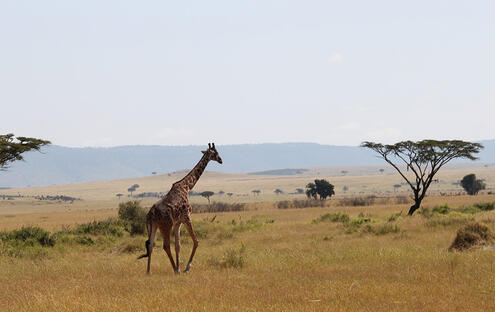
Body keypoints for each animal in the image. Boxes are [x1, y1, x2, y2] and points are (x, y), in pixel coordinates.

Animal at [140, 143, 225, 274]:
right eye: (215, 153)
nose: (221, 160)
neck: (187, 187)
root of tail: (150, 214)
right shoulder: (186, 217)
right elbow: (196, 241)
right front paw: (186, 268)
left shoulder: (177, 222)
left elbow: (178, 246)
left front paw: (180, 267)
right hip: (165, 225)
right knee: (165, 245)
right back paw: (174, 269)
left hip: (153, 226)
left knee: (150, 245)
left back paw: (149, 271)